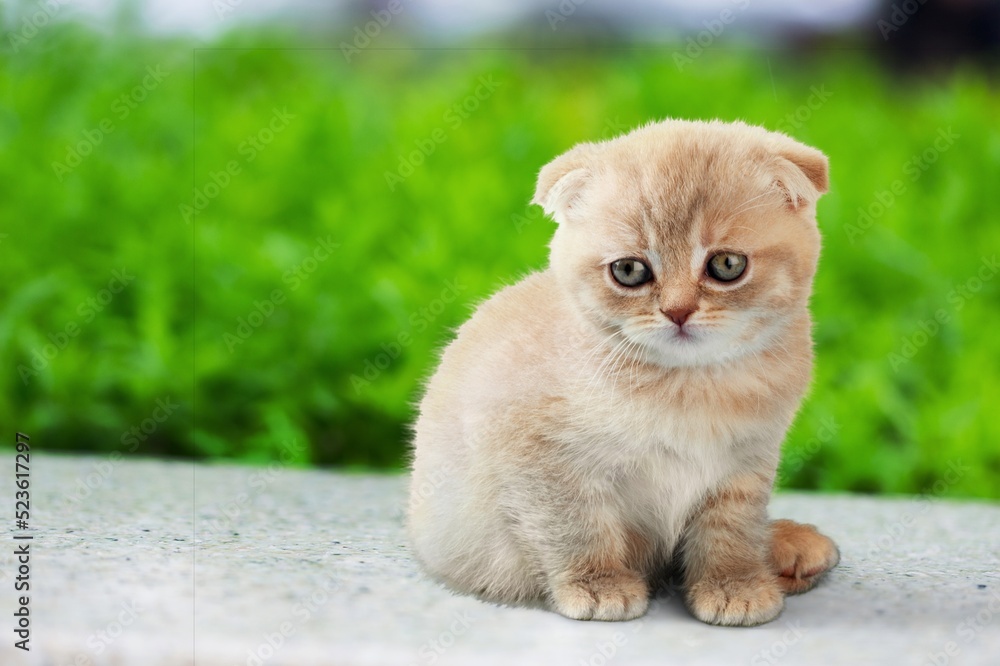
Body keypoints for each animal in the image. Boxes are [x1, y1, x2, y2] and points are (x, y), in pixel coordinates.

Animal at [406, 118, 836, 624]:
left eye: (727, 264)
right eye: (629, 270)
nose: (677, 311)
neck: (690, 388)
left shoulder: (746, 464)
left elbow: (731, 530)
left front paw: (736, 585)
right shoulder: (537, 456)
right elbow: (575, 525)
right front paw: (599, 585)